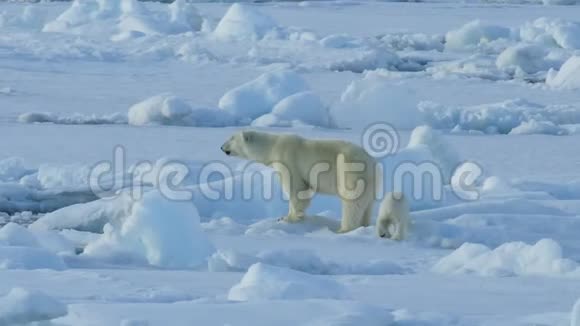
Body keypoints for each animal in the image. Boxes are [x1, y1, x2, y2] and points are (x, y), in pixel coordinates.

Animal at [220, 130, 410, 239]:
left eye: (231, 138)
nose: (221, 147)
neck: (273, 146)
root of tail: (372, 163)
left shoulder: (289, 160)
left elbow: (296, 190)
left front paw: (290, 218)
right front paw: (284, 217)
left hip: (350, 171)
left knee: (352, 203)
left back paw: (343, 230)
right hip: (371, 183)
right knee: (366, 205)